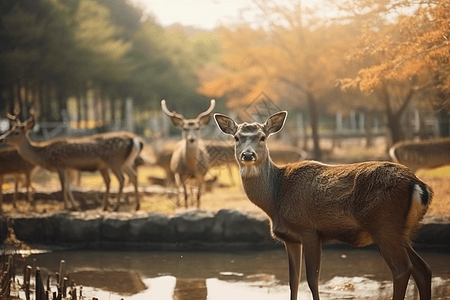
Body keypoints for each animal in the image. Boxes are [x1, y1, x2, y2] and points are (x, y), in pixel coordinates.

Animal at [0, 111, 144, 212]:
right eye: (10, 129)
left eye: (16, 132)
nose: (2, 138)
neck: (44, 156)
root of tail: (134, 141)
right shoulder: (69, 168)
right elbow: (69, 187)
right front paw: (75, 207)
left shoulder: (60, 164)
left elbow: (63, 186)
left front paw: (66, 207)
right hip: (124, 163)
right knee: (133, 176)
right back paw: (135, 206)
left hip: (115, 162)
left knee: (122, 179)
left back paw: (116, 207)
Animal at [216, 110, 434, 300]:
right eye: (236, 137)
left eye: (262, 137)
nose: (248, 155)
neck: (275, 200)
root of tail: (418, 184)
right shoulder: (290, 238)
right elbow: (293, 281)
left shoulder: (309, 230)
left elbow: (312, 280)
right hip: (401, 231)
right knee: (423, 269)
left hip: (384, 224)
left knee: (402, 269)